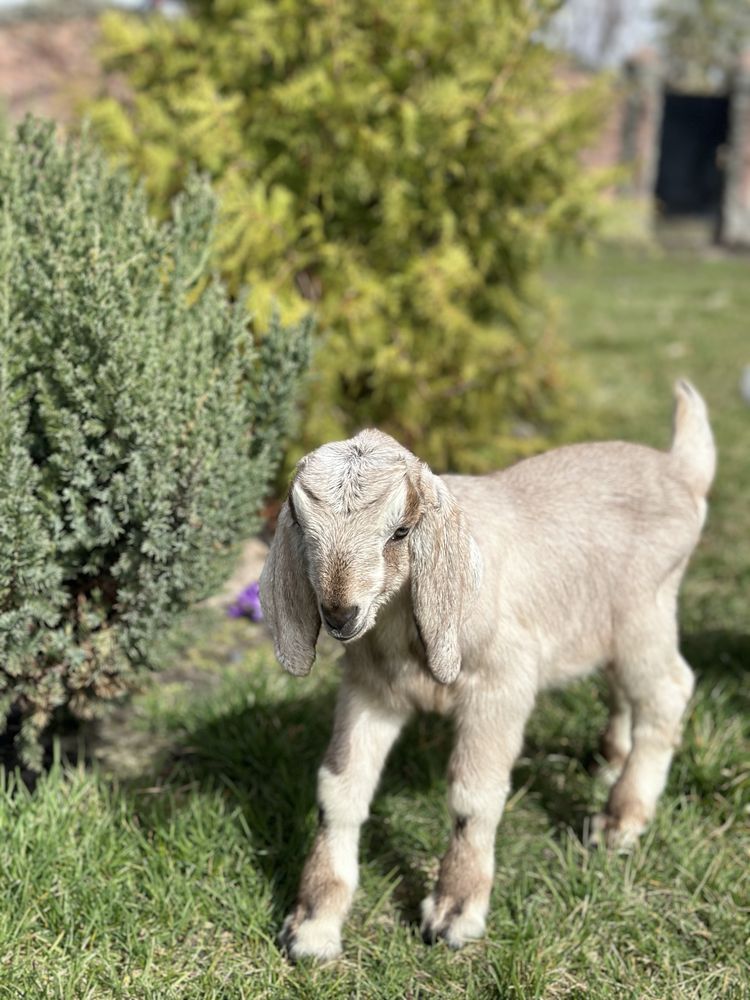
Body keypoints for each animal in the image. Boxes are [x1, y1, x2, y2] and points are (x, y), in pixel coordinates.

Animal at [262, 380, 716, 960]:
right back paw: (610, 759)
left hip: (646, 614)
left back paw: (621, 819)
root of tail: (682, 469)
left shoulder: (502, 683)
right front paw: (313, 923)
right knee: (622, 686)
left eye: (400, 531)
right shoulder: (370, 690)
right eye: (301, 525)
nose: (340, 614)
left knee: (668, 691)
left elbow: (472, 796)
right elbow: (341, 789)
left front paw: (454, 912)